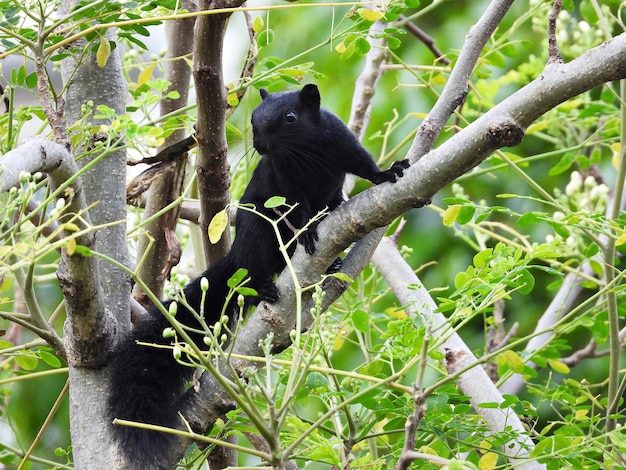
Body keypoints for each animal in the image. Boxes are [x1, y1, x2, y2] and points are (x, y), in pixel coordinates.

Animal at [107, 82, 410, 468]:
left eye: (291, 117)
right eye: (252, 118)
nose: (262, 145)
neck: (305, 150)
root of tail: (235, 257)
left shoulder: (341, 142)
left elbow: (363, 164)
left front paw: (388, 172)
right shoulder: (285, 181)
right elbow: (298, 208)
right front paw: (306, 232)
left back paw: (331, 263)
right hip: (254, 232)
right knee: (255, 272)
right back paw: (268, 284)